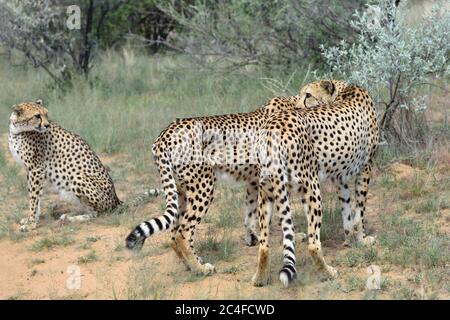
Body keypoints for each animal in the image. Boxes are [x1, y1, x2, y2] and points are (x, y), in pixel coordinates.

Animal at [8, 100, 121, 230]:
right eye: (37, 116)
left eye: (46, 114)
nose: (46, 125)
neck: (18, 130)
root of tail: (116, 200)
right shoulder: (31, 170)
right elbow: (36, 197)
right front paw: (31, 219)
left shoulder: (36, 169)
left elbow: (34, 198)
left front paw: (31, 223)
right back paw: (69, 216)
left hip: (77, 177)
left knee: (99, 214)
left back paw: (72, 218)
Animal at [125, 79, 346, 276]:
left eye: (308, 95)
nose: (301, 106)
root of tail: (165, 133)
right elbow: (275, 213)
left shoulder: (254, 180)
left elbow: (250, 213)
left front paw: (252, 237)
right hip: (203, 186)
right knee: (182, 233)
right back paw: (200, 269)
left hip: (181, 190)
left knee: (173, 233)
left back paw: (192, 264)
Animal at [255, 84, 378, 286]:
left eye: (308, 95)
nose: (297, 106)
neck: (344, 88)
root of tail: (274, 126)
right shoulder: (365, 168)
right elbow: (359, 212)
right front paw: (361, 240)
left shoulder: (340, 177)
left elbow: (347, 211)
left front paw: (349, 240)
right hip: (311, 188)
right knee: (313, 244)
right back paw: (328, 273)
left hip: (266, 191)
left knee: (264, 245)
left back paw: (259, 278)